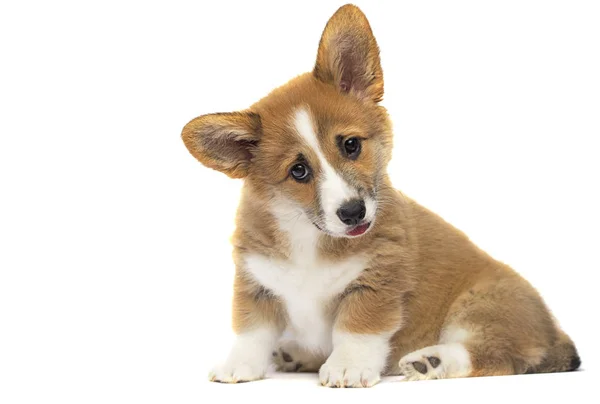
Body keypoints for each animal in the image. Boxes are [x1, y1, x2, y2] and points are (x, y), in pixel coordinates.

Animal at [180, 3, 580, 388]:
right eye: (299, 171)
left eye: (351, 145)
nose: (353, 212)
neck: (309, 236)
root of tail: (554, 334)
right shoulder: (256, 282)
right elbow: (251, 331)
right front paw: (239, 365)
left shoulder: (376, 282)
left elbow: (356, 329)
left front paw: (348, 367)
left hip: (482, 306)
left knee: (497, 357)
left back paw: (429, 361)